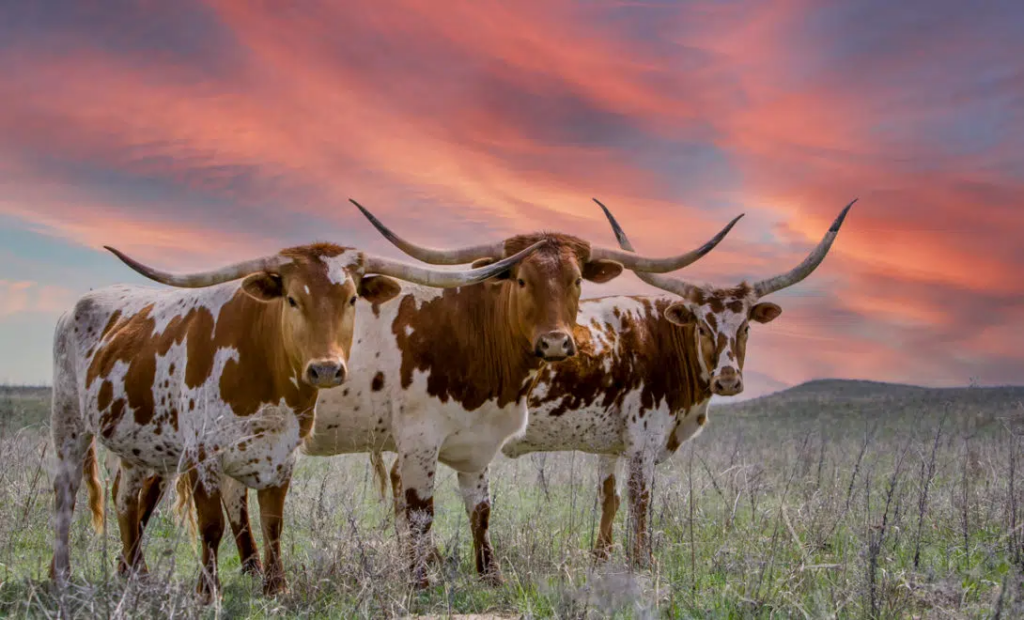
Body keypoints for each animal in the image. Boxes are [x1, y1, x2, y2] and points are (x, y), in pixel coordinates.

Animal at [48, 237, 536, 598]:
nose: (326, 369)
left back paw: (135, 575)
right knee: (66, 496)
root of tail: (79, 304)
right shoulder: (203, 454)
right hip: (69, 424)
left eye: (352, 298)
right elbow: (211, 526)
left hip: (138, 446)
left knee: (126, 500)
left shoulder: (283, 455)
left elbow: (272, 522)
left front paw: (275, 587)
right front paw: (208, 592)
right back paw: (61, 575)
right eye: (292, 298)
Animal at [144, 201, 741, 586]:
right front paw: (420, 580)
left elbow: (481, 511)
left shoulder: (478, 443)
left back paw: (248, 570)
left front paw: (489, 575)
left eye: (576, 281)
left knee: (232, 498)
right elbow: (419, 513)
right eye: (520, 279)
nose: (556, 342)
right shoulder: (417, 442)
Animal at [495, 199, 856, 565]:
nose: (727, 381)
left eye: (745, 328)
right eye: (702, 327)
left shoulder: (610, 446)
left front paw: (601, 559)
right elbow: (640, 502)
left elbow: (609, 499)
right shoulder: (644, 441)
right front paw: (641, 563)